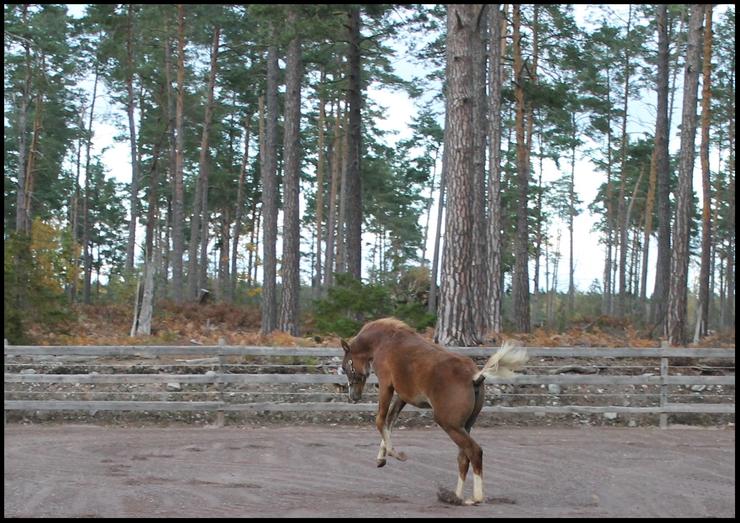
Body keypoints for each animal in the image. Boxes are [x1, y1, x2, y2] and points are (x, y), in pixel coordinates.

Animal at [338, 318, 528, 506]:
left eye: (345, 367)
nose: (353, 396)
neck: (385, 340)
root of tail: (474, 377)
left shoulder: (386, 385)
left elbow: (380, 420)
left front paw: (396, 454)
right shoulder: (402, 395)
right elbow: (390, 420)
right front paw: (382, 458)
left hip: (449, 424)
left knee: (474, 451)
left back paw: (475, 498)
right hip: (464, 426)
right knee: (463, 457)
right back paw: (455, 496)